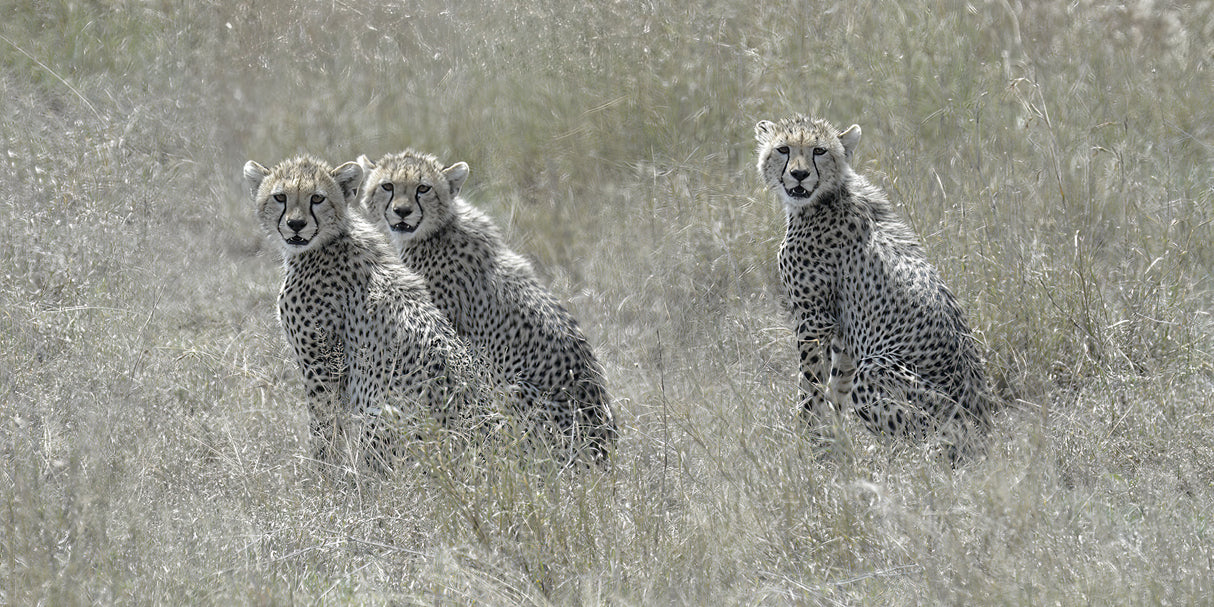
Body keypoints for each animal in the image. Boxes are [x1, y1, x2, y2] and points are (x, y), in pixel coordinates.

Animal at [244, 155, 495, 472]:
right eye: (280, 197)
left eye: (317, 198)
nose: (296, 224)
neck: (330, 239)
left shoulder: (323, 364)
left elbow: (323, 424)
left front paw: (321, 474)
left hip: (381, 409)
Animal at [356, 149, 618, 464]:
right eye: (387, 186)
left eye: (423, 188)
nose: (402, 211)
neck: (440, 228)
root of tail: (604, 449)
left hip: (515, 390)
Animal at [754, 115, 994, 456]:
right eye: (783, 149)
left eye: (819, 150)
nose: (799, 174)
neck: (828, 195)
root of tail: (985, 432)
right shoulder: (843, 330)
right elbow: (835, 388)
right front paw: (832, 443)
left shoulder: (814, 320)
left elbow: (810, 385)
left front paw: (805, 442)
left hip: (878, 372)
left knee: (924, 447)